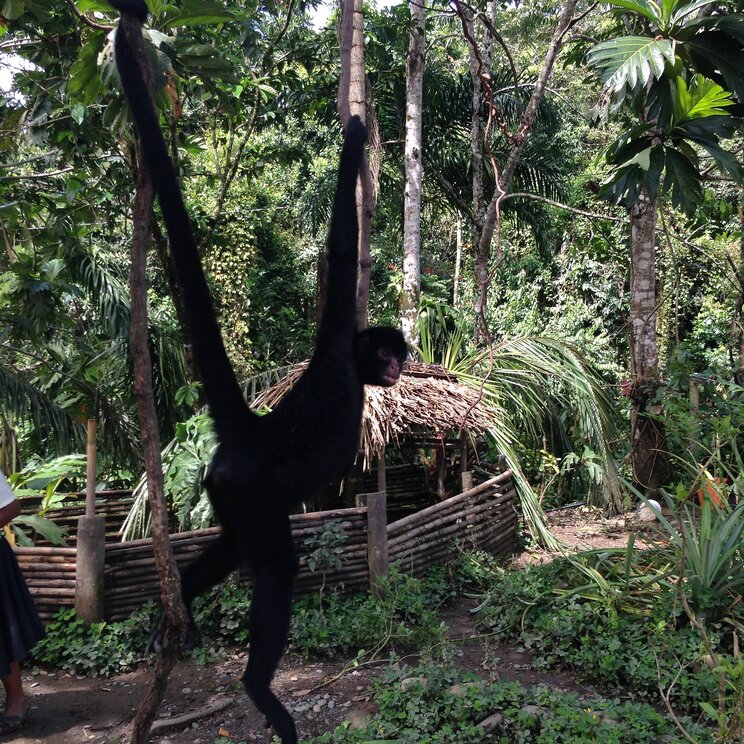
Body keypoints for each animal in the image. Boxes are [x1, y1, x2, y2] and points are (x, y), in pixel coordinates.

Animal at [108, 3, 407, 742]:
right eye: (385, 354)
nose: (394, 366)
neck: (348, 366)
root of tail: (250, 430)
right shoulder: (336, 338)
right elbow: (341, 249)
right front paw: (354, 139)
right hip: (252, 490)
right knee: (274, 561)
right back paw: (257, 688)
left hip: (226, 491)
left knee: (229, 547)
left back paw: (174, 608)